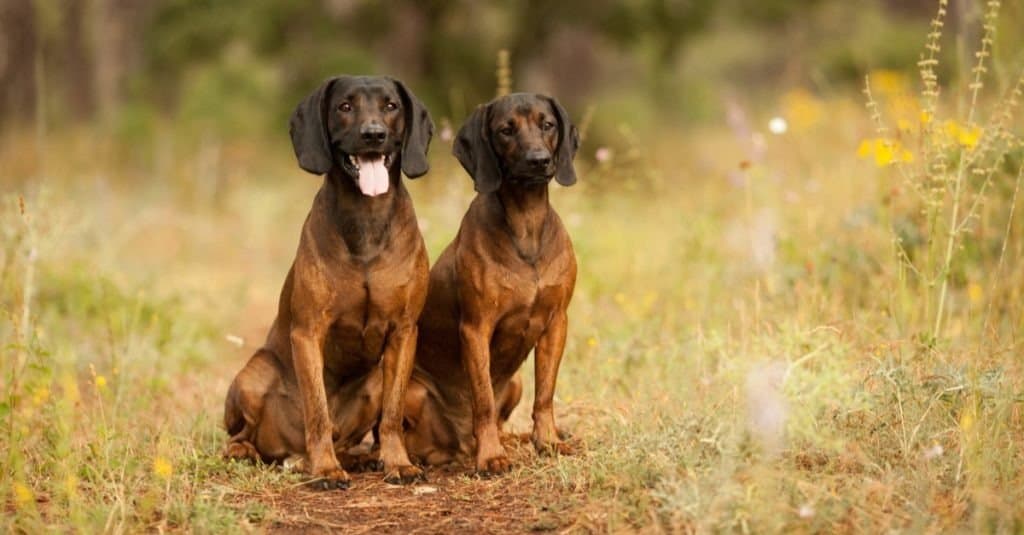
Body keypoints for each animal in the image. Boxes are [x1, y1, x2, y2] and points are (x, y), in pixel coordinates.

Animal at [224, 74, 432, 487]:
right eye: (344, 107)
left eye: (391, 106)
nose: (373, 134)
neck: (366, 215)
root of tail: (291, 452)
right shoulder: (308, 332)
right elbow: (317, 410)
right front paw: (326, 469)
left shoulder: (404, 332)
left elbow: (392, 413)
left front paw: (398, 462)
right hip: (253, 374)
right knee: (241, 436)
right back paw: (261, 453)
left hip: (373, 381)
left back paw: (359, 459)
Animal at [399, 91, 581, 471]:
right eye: (505, 130)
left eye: (547, 124)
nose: (538, 160)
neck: (526, 222)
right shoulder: (476, 327)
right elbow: (482, 397)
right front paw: (492, 456)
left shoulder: (556, 323)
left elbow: (545, 395)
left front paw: (548, 442)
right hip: (413, 390)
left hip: (515, 383)